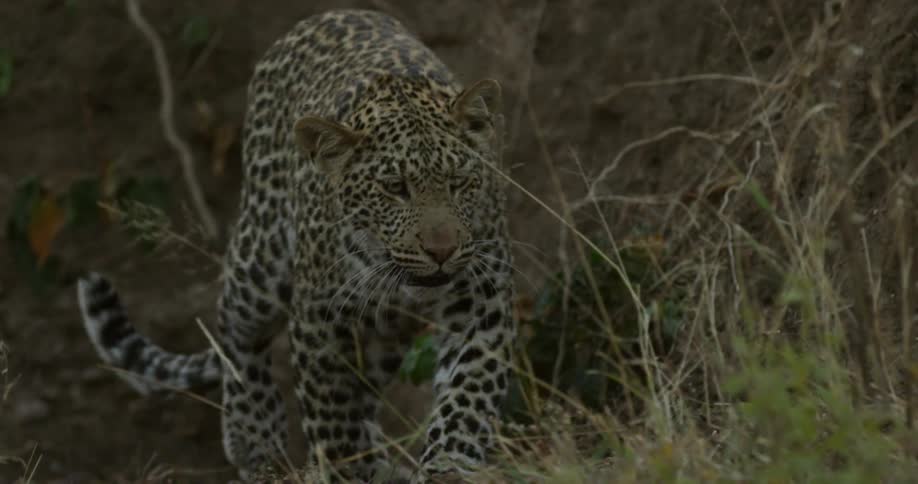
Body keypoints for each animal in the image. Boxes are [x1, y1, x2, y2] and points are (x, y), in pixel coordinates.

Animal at [76, 9, 515, 483]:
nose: (442, 251)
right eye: (395, 188)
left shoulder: (481, 297)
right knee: (235, 325)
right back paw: (253, 434)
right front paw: (345, 467)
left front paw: (449, 464)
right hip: (262, 258)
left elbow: (467, 393)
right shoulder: (318, 318)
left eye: (460, 182)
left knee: (365, 391)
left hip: (382, 331)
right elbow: (333, 421)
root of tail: (331, 12)